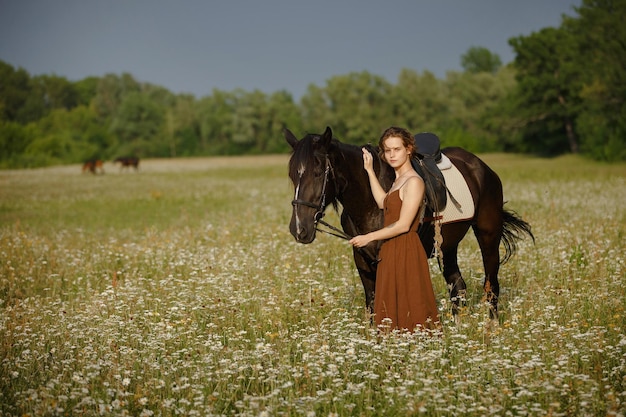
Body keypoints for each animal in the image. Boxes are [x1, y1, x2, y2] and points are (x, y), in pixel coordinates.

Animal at [284, 127, 532, 318]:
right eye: (292, 175)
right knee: (457, 286)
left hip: (488, 234)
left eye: (318, 173)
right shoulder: (362, 258)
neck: (370, 204)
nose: (299, 229)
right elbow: (373, 303)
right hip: (447, 245)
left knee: (491, 285)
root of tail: (482, 167)